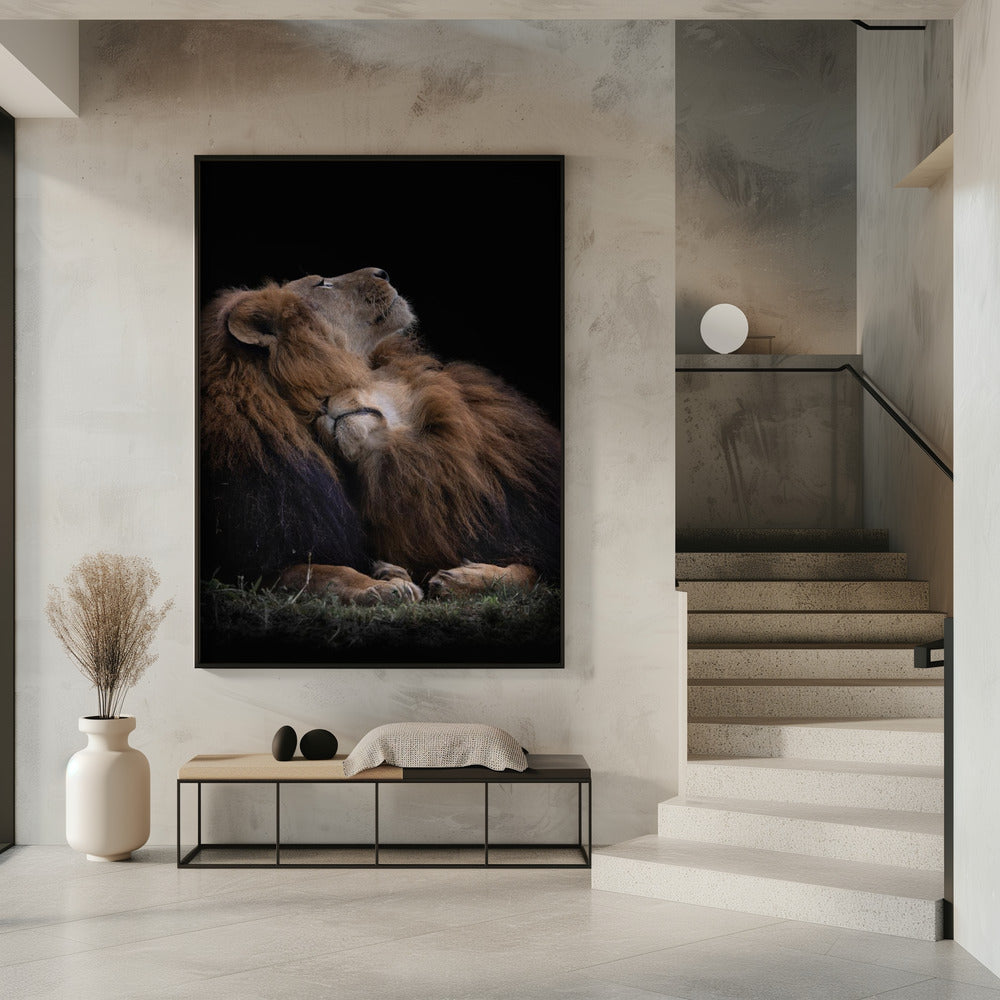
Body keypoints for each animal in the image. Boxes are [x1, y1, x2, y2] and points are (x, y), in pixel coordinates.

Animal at [200, 279, 421, 605]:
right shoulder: (252, 568)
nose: (383, 272)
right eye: (322, 283)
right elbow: (327, 573)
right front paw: (382, 587)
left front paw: (392, 573)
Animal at [280, 269, 562, 598]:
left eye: (345, 379)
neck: (422, 458)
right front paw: (389, 573)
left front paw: (462, 578)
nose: (320, 406)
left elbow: (529, 573)